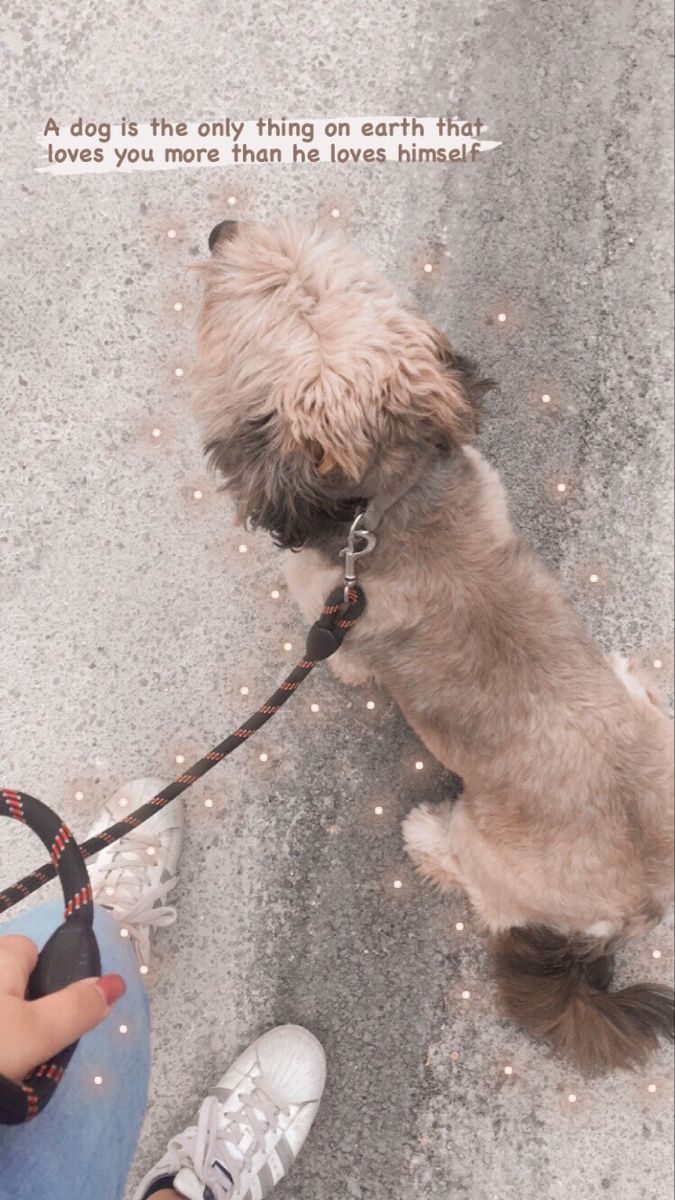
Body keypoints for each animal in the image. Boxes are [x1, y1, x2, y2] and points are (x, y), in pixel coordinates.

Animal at [194, 220, 672, 1075]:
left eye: (251, 307)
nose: (223, 230)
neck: (392, 496)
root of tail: (636, 906)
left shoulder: (332, 628)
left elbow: (341, 661)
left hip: (490, 855)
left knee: (471, 880)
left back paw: (425, 837)